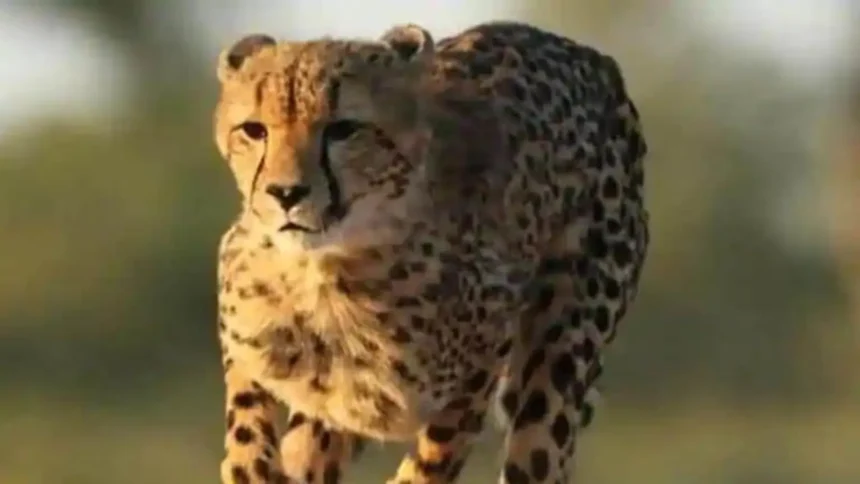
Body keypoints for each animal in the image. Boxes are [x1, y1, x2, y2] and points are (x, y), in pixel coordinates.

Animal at [212, 20, 648, 484]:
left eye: (343, 129)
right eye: (254, 130)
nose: (285, 193)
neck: (326, 268)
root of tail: (592, 58)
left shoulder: (480, 363)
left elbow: (432, 459)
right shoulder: (246, 326)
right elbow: (246, 409)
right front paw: (250, 463)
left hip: (562, 354)